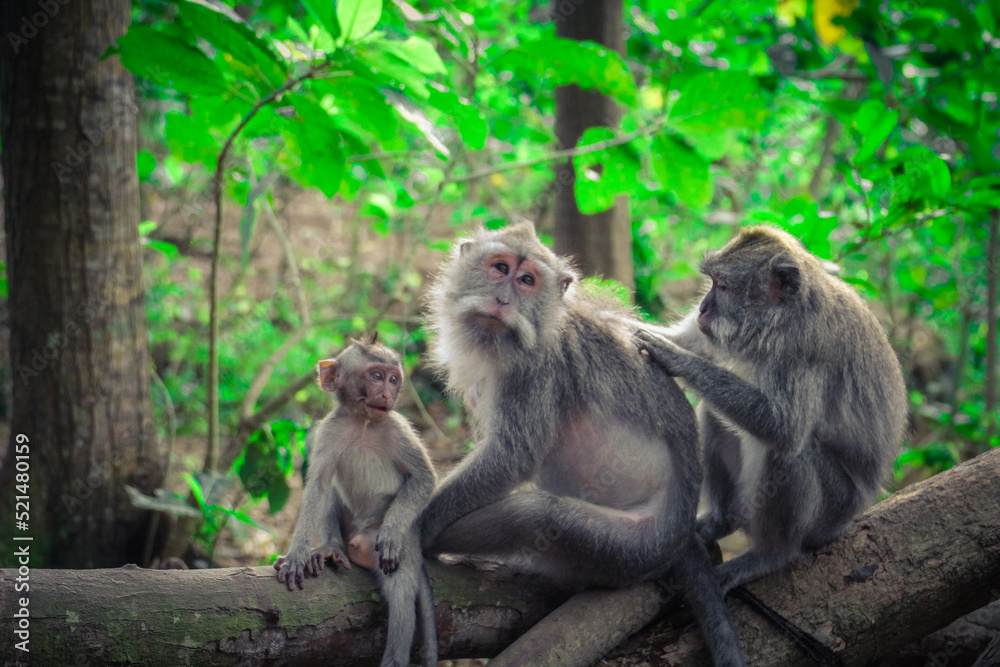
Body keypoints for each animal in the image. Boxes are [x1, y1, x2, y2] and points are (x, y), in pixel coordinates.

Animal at [278, 336, 442, 667]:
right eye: (376, 375)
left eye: (394, 379)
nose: (387, 394)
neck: (363, 422)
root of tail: (360, 539)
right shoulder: (328, 431)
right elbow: (318, 487)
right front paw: (297, 554)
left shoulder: (398, 427)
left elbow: (423, 478)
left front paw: (390, 533)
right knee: (331, 493)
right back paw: (332, 549)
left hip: (405, 541)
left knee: (401, 590)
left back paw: (395, 659)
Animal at [420, 223, 744, 667]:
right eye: (500, 268)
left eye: (527, 280)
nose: (502, 300)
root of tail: (680, 535)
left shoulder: (541, 369)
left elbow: (511, 457)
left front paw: (417, 527)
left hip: (632, 547)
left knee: (537, 517)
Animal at [636, 226, 912, 596]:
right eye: (711, 283)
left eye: (722, 286)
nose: (704, 309)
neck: (778, 320)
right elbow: (692, 341)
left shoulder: (802, 347)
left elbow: (784, 428)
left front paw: (673, 357)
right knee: (714, 412)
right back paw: (721, 520)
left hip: (833, 512)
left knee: (789, 453)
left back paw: (769, 557)